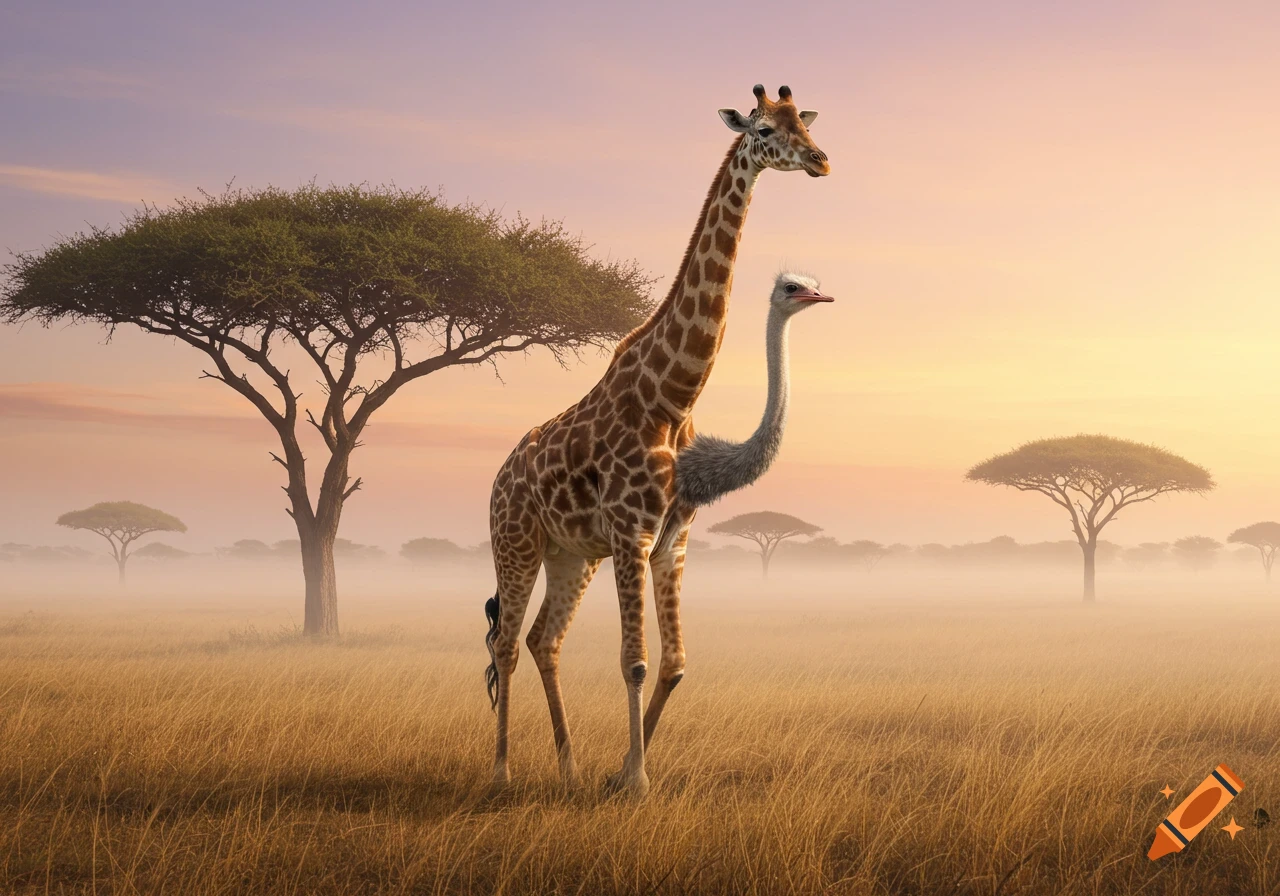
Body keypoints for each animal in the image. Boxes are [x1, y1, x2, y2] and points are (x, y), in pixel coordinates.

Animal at [485, 84, 831, 798]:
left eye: (806, 122)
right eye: (762, 129)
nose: (820, 160)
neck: (674, 396)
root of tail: (497, 480)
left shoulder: (671, 537)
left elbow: (673, 663)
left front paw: (622, 771)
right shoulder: (631, 533)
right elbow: (636, 661)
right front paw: (638, 781)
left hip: (572, 555)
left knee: (542, 640)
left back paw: (569, 767)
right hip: (517, 542)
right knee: (505, 643)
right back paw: (502, 771)